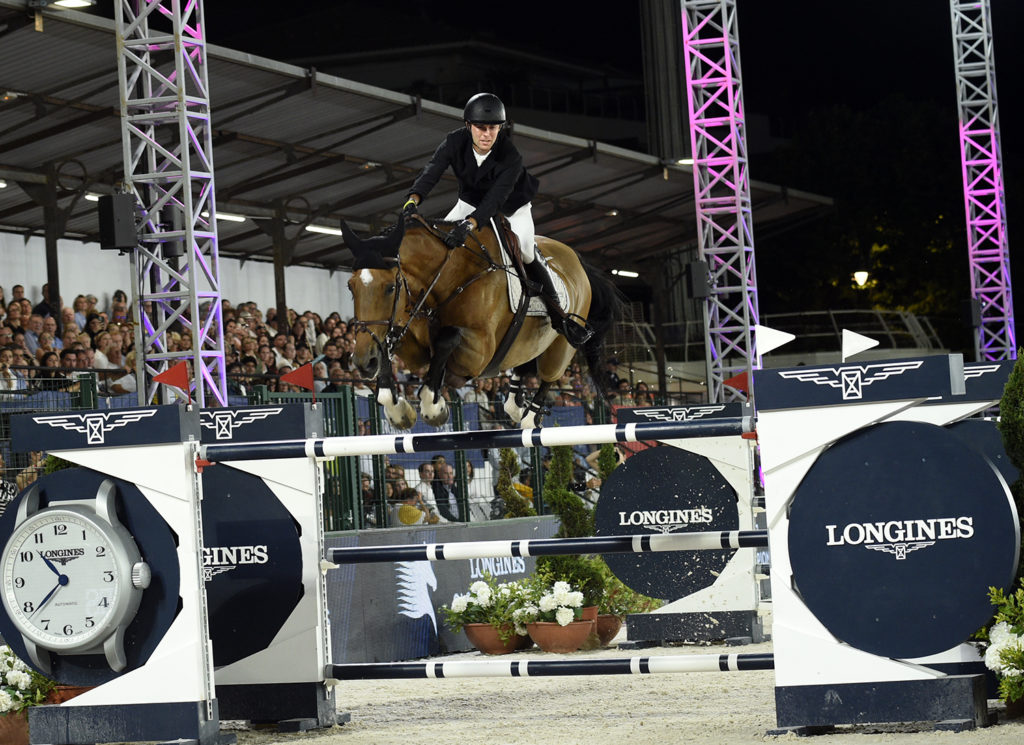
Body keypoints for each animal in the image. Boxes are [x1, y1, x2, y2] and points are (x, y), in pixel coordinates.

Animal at [344, 214, 618, 427]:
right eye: (350, 287)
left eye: (390, 288)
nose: (362, 363)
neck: (446, 277)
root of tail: (577, 260)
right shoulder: (414, 348)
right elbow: (389, 347)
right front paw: (398, 410)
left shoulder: (479, 353)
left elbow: (447, 338)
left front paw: (433, 406)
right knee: (524, 367)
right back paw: (515, 403)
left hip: (562, 344)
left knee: (550, 374)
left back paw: (531, 417)